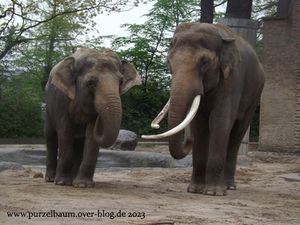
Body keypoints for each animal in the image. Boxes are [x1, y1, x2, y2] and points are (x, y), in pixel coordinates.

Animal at [45, 48, 141, 187]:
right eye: (91, 82)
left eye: (121, 82)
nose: (99, 119)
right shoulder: (61, 100)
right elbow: (65, 131)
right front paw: (62, 182)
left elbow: (91, 136)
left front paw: (83, 185)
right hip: (48, 108)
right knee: (50, 137)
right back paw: (51, 179)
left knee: (79, 143)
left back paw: (73, 180)